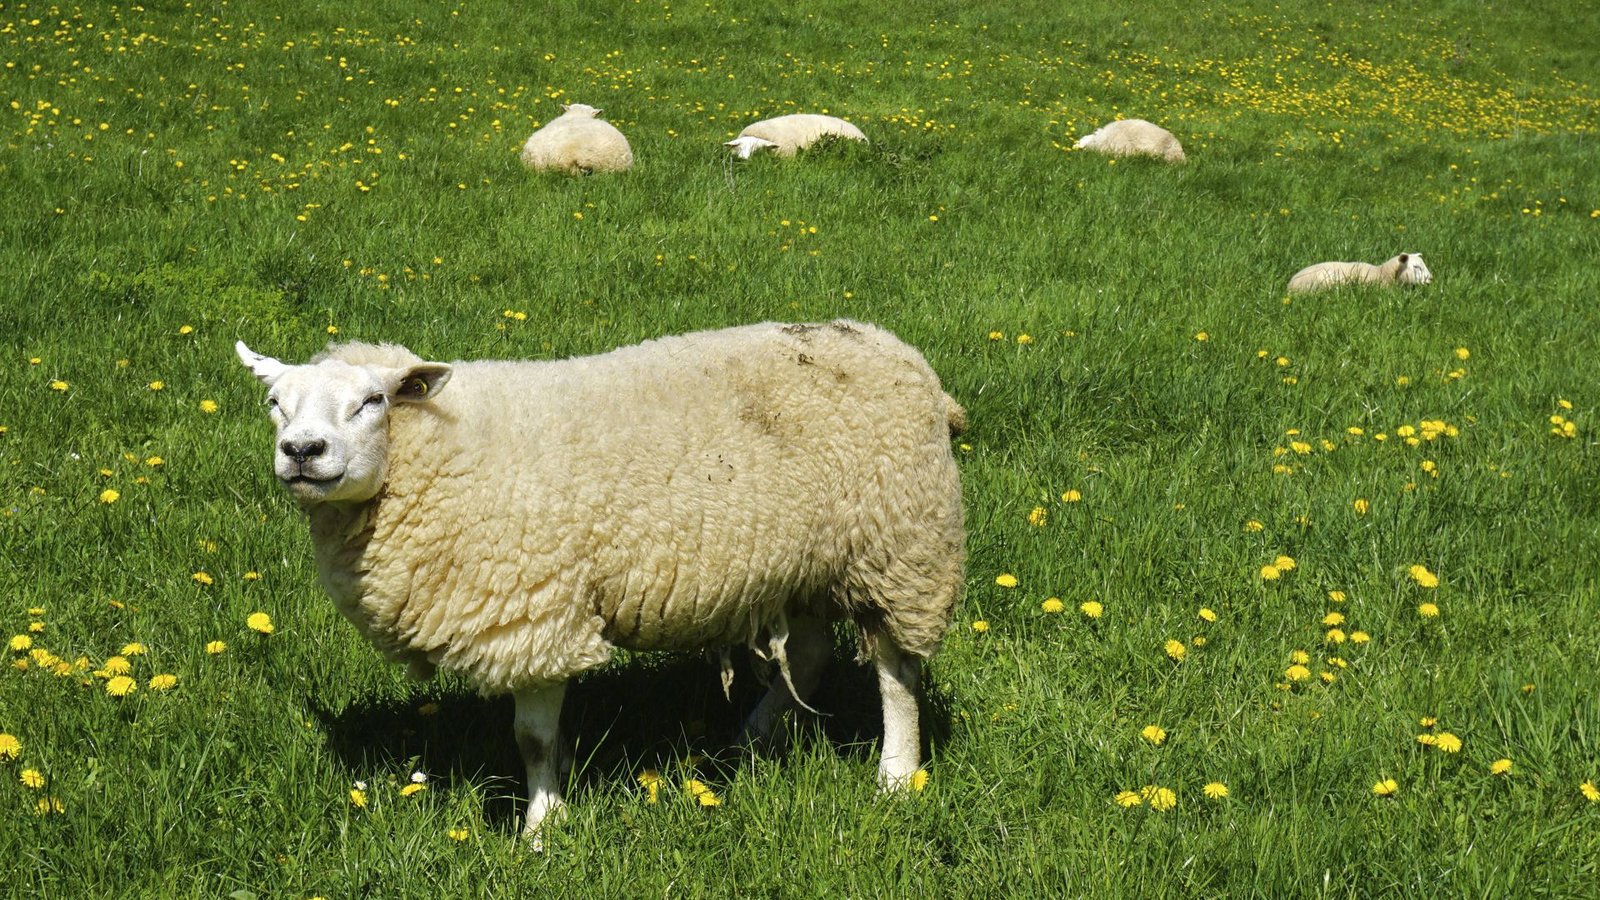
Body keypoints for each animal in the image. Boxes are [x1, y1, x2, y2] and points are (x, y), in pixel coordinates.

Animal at [235, 320, 966, 844]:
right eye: (274, 404)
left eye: (372, 401)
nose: (302, 452)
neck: (445, 450)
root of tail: (899, 352)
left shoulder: (533, 610)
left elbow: (532, 739)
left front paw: (541, 829)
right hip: (809, 560)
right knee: (811, 657)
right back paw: (753, 737)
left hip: (901, 547)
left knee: (897, 672)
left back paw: (896, 775)